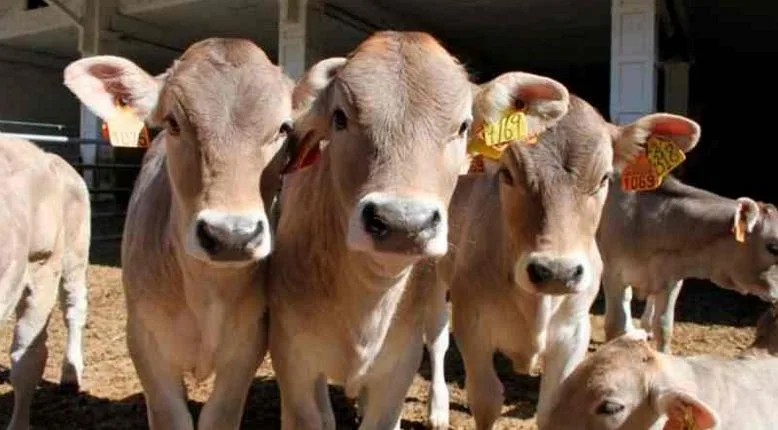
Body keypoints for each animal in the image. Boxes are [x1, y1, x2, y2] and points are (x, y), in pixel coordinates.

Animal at [63, 38, 292, 429]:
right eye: (172, 122)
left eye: (283, 128)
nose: (231, 235)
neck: (207, 292)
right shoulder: (144, 342)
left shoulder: (247, 346)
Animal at [268, 31, 473, 430]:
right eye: (339, 117)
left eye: (463, 126)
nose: (402, 222)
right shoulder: (294, 363)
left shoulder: (398, 367)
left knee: (438, 339)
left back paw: (437, 409)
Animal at [424, 71, 702, 429]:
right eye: (507, 174)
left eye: (603, 179)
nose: (556, 272)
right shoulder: (472, 325)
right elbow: (486, 400)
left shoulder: (574, 332)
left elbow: (552, 406)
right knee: (436, 337)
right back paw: (437, 408)